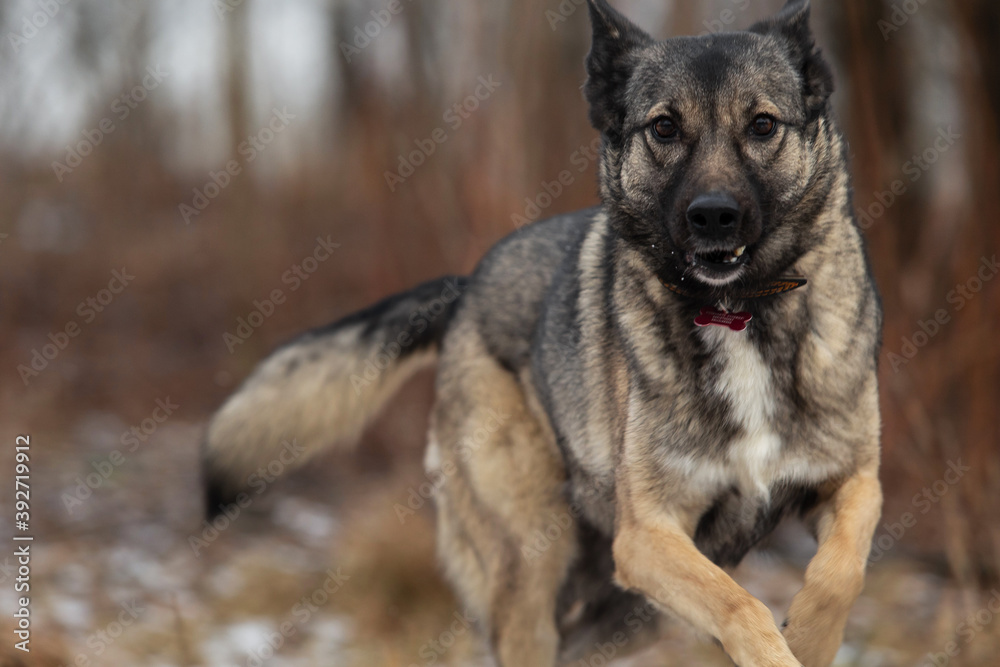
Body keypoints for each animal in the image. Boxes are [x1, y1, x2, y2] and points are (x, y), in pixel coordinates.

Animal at [201, 1, 884, 667]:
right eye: (664, 128)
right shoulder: (647, 536)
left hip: (621, 613)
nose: (713, 215)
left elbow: (841, 571)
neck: (735, 309)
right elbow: (741, 606)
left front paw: (812, 638)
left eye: (763, 125)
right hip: (533, 564)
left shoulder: (853, 482)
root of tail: (466, 289)